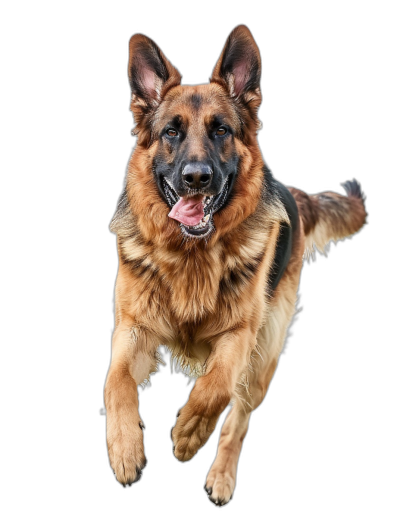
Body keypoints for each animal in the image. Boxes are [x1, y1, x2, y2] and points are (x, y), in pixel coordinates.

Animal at [104, 25, 368, 508]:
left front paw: (188, 433)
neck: (190, 257)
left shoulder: (239, 336)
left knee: (238, 419)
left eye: (221, 130)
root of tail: (291, 191)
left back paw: (221, 476)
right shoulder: (132, 328)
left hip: (263, 357)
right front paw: (126, 450)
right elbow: (115, 382)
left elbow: (217, 386)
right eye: (171, 132)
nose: (196, 177)